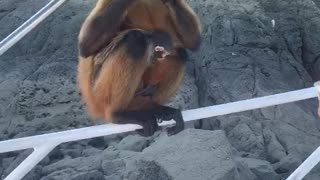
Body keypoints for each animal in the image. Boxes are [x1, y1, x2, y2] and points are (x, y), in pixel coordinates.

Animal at [77, 0, 201, 136]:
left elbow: (193, 42)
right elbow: (86, 47)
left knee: (179, 53)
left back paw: (152, 107)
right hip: (100, 91)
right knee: (135, 40)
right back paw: (118, 114)